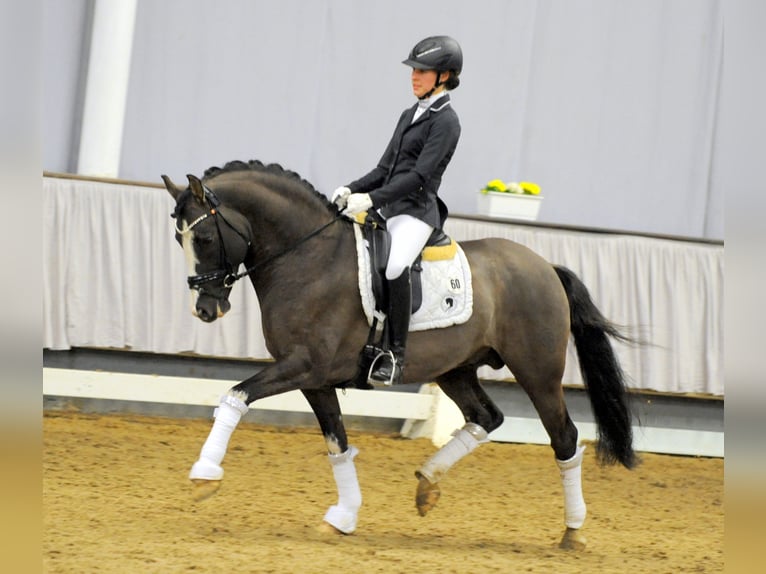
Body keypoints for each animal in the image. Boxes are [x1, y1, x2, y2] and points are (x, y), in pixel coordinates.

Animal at [161, 159, 637, 549]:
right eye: (179, 239)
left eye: (204, 236)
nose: (205, 310)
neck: (308, 257)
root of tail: (544, 267)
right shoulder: (314, 380)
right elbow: (337, 444)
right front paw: (343, 516)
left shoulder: (302, 366)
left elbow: (235, 396)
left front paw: (204, 476)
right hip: (456, 369)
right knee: (487, 417)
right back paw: (427, 484)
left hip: (538, 372)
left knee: (565, 438)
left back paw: (574, 531)